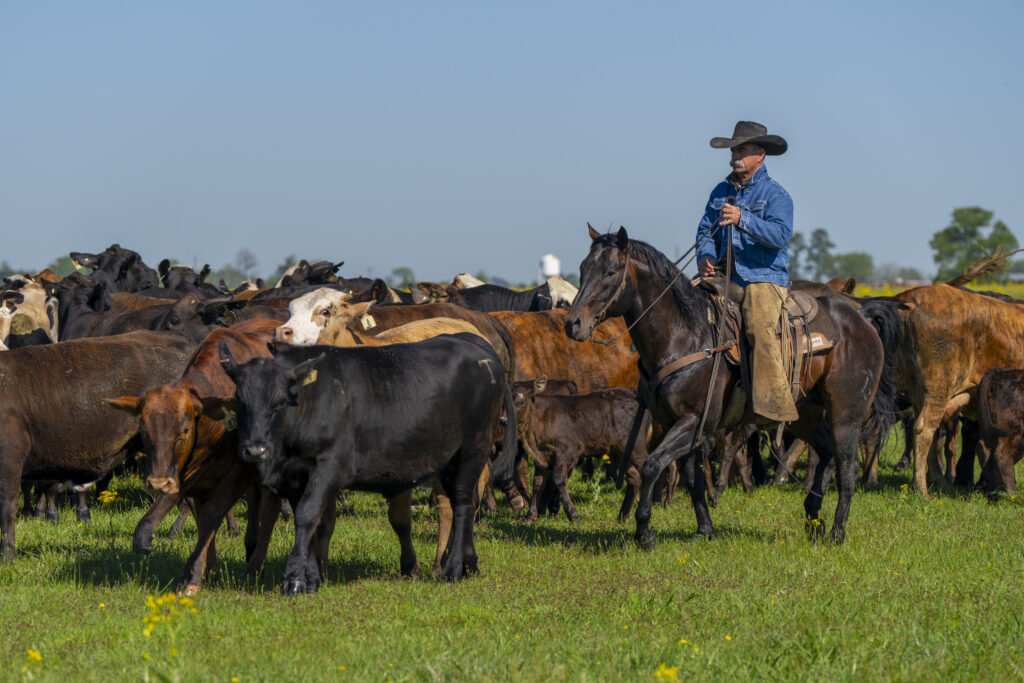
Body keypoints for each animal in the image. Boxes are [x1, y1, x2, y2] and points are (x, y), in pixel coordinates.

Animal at [219, 331, 516, 593]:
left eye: (280, 402)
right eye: (239, 400)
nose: (255, 449)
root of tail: (475, 345)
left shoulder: (328, 467)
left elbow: (307, 516)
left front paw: (295, 580)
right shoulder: (294, 477)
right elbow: (316, 524)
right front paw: (313, 578)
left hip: (473, 450)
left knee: (464, 505)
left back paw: (452, 570)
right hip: (447, 459)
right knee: (462, 503)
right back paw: (469, 564)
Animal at [569, 227, 897, 548]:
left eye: (611, 271)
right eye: (583, 268)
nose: (573, 323)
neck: (684, 335)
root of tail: (861, 318)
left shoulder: (694, 421)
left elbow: (652, 465)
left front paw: (644, 531)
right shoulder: (678, 423)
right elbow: (692, 476)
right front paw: (704, 529)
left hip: (846, 414)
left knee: (847, 469)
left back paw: (837, 534)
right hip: (805, 415)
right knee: (827, 454)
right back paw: (814, 522)